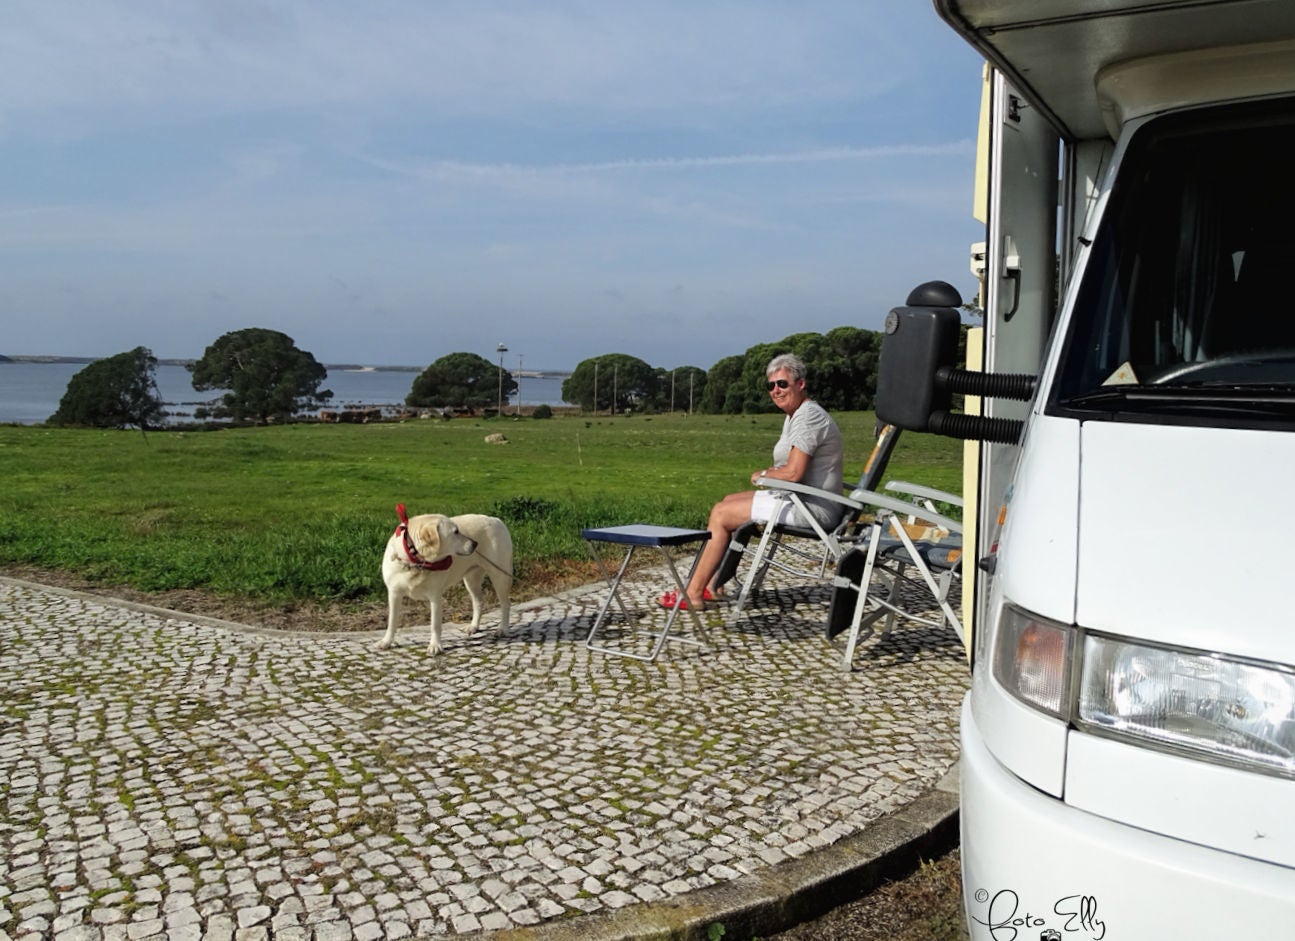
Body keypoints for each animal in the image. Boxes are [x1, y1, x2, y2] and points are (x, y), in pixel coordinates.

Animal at [376, 504, 513, 654]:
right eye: (456, 532)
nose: (475, 544)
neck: (415, 562)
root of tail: (495, 519)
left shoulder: (435, 596)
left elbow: (435, 624)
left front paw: (435, 645)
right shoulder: (394, 594)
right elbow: (391, 622)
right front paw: (386, 642)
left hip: (499, 575)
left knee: (505, 604)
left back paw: (503, 629)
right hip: (471, 579)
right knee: (478, 602)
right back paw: (473, 626)